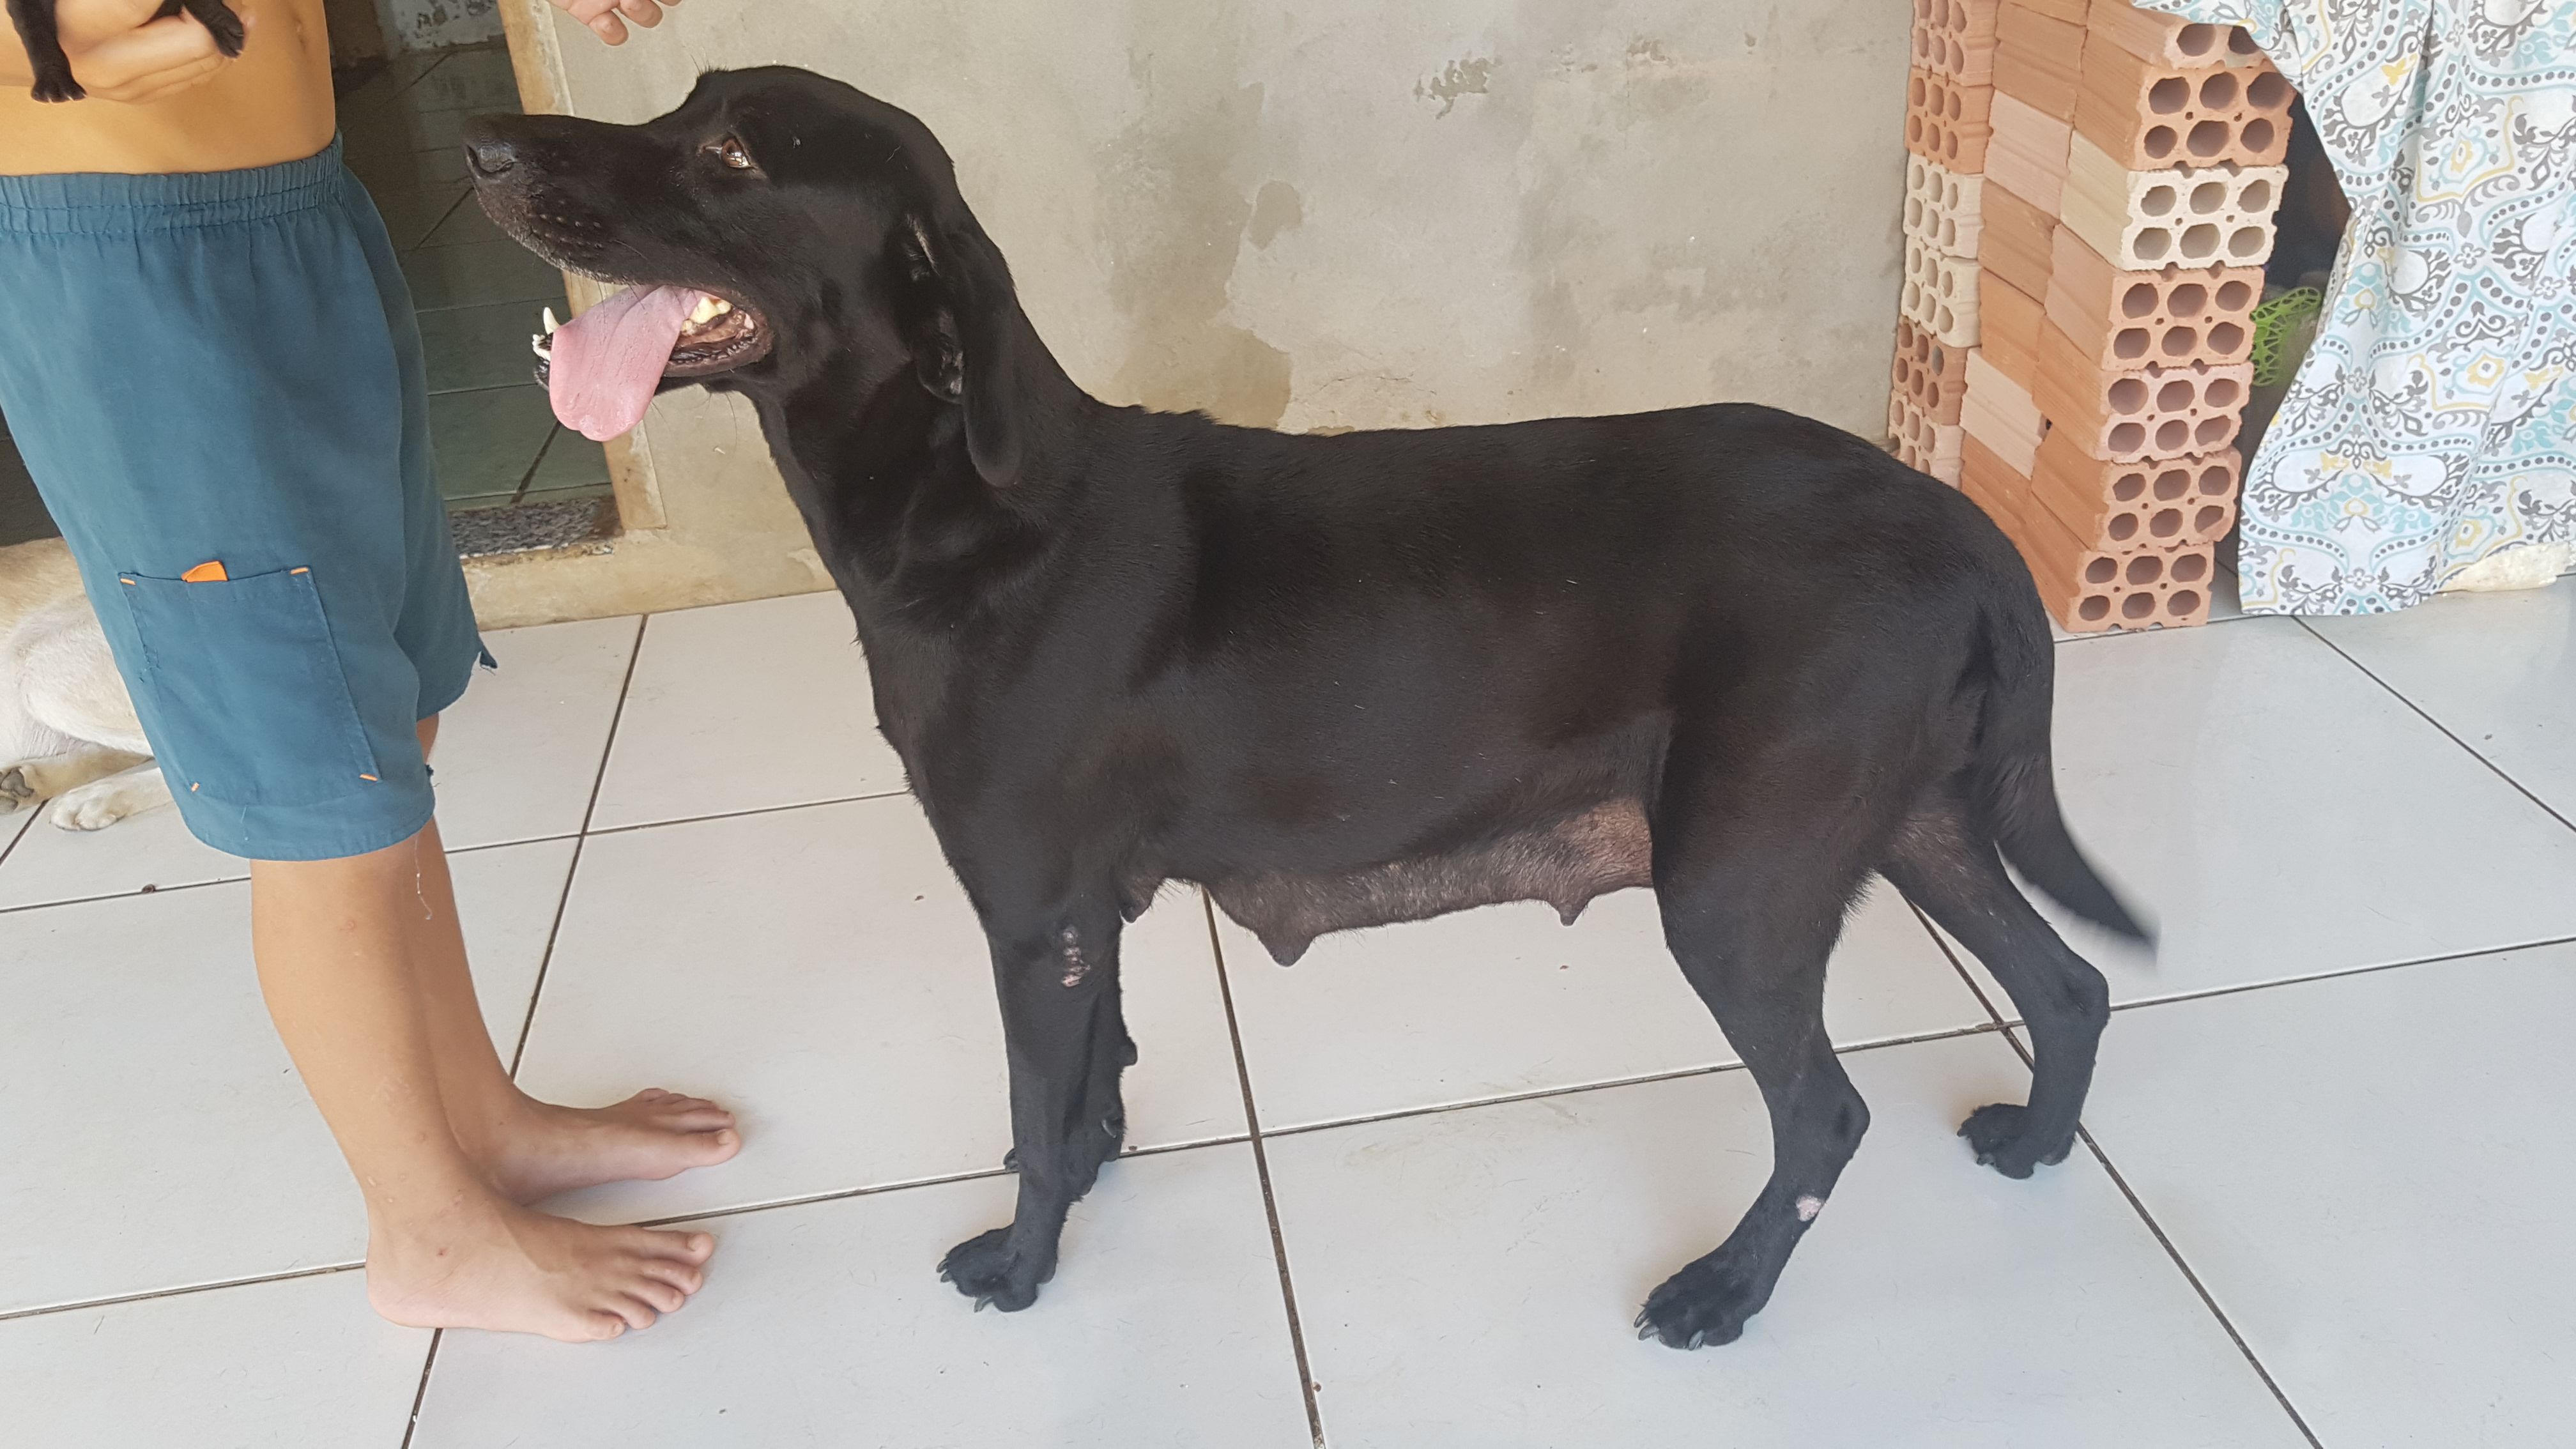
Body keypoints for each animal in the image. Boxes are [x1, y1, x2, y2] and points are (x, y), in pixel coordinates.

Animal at [466, 68, 2147, 1350]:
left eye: (734, 152)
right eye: (681, 105)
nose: (486, 146)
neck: (973, 504)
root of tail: (1957, 523)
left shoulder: (1031, 916)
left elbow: (1039, 1103)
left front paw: (1023, 1265)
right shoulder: (1086, 913)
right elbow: (1090, 1084)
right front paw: (1087, 1168)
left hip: (1739, 885)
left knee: (1825, 1121)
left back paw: (1727, 1292)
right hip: (1911, 822)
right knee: (2070, 988)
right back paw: (2040, 1141)